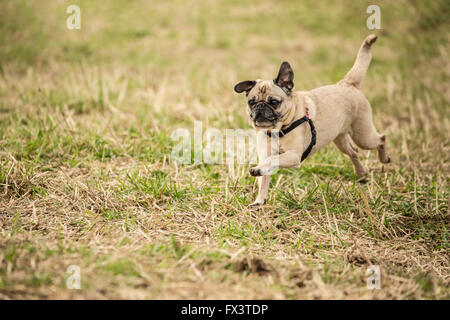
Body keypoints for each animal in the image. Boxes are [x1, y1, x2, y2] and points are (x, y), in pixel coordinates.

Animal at [236, 35, 390, 205]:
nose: (260, 107)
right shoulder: (266, 155)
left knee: (381, 139)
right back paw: (361, 172)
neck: (277, 130)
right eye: (251, 102)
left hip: (363, 136)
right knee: (354, 152)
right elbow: (264, 179)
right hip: (340, 139)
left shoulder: (293, 155)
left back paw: (384, 159)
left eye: (274, 102)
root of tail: (347, 84)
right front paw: (259, 201)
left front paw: (258, 171)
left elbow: (271, 162)